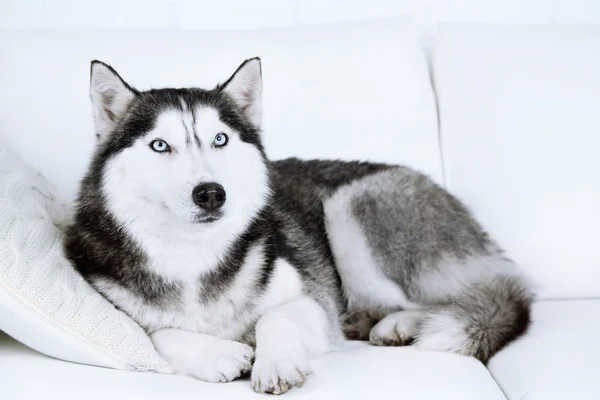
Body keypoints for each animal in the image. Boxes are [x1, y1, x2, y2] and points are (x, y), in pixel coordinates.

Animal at [64, 57, 536, 396]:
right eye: (160, 145)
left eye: (220, 139)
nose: (211, 193)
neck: (194, 256)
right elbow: (158, 334)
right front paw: (218, 355)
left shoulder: (313, 301)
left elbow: (275, 318)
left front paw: (275, 362)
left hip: (350, 207)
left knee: (467, 299)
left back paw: (398, 325)